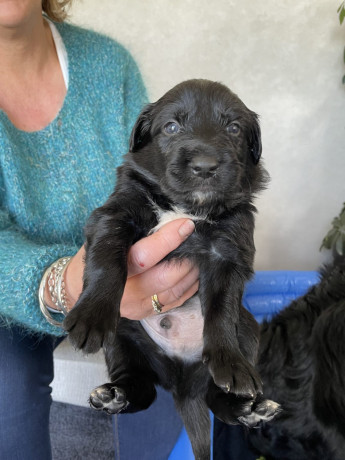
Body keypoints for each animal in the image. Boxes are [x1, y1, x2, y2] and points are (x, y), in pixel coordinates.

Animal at [63, 80, 280, 460]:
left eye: (233, 129)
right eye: (171, 127)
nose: (206, 166)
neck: (185, 207)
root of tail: (181, 384)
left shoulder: (229, 251)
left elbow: (221, 311)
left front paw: (230, 363)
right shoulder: (115, 214)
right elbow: (106, 260)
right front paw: (91, 316)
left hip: (249, 329)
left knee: (214, 395)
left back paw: (248, 407)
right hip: (123, 335)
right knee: (143, 387)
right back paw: (115, 395)